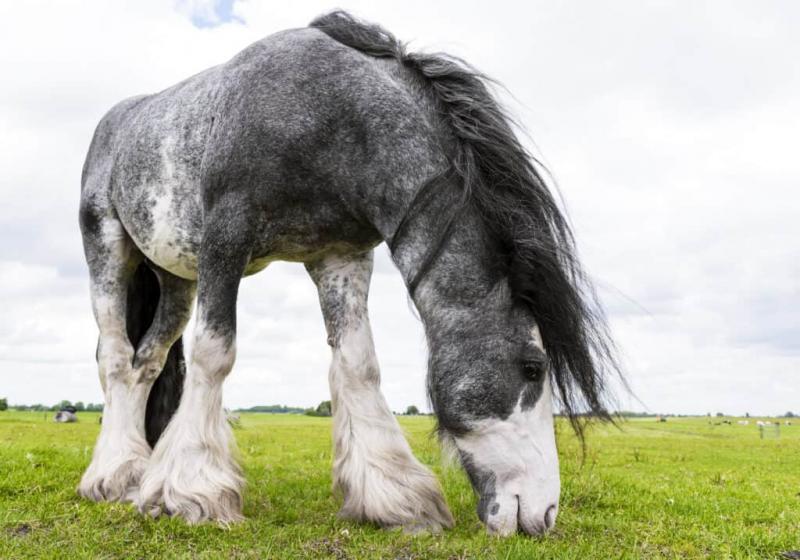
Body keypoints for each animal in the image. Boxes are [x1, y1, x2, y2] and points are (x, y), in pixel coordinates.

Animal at [79, 10, 620, 536]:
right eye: (534, 368)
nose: (546, 513)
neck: (333, 116)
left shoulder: (342, 256)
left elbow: (359, 365)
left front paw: (396, 497)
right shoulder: (225, 239)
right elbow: (214, 353)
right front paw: (191, 492)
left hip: (177, 281)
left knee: (145, 362)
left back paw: (133, 471)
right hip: (107, 250)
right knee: (115, 357)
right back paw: (114, 475)